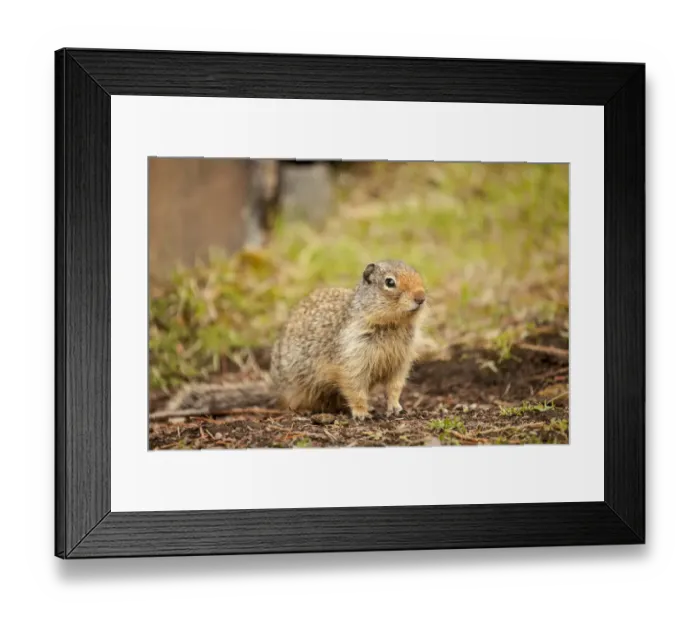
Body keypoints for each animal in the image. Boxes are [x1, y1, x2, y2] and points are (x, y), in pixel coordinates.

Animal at [161, 260, 427, 420]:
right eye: (390, 282)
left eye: (417, 273)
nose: (421, 297)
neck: (392, 325)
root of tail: (275, 386)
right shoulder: (352, 359)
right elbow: (354, 388)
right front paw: (362, 412)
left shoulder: (401, 361)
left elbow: (395, 386)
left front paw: (395, 407)